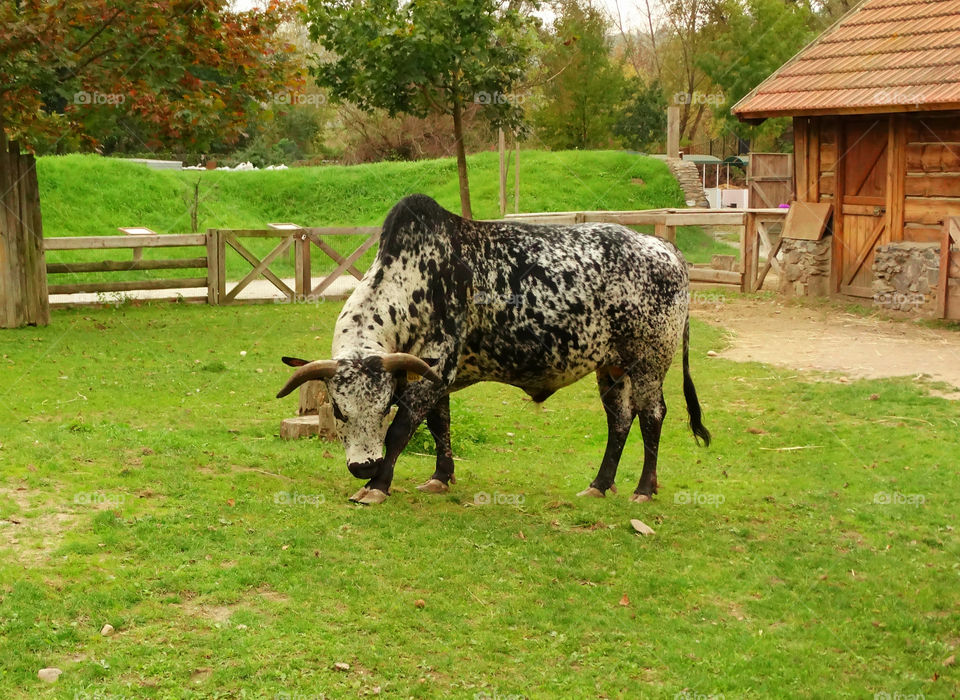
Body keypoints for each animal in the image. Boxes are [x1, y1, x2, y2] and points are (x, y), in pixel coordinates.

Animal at [277, 194, 710, 505]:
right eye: (338, 410)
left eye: (383, 407)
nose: (364, 467)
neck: (414, 283)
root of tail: (667, 249)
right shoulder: (431, 374)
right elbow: (439, 425)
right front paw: (440, 477)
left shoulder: (437, 369)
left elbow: (402, 429)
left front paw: (378, 487)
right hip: (612, 367)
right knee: (619, 420)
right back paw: (600, 484)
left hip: (649, 362)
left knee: (652, 416)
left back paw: (644, 489)